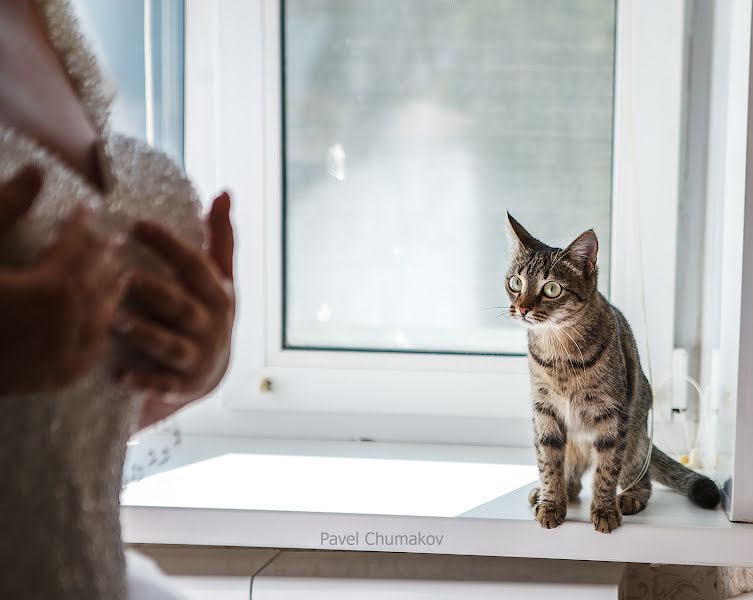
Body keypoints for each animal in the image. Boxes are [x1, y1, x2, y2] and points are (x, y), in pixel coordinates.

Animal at [508, 213, 720, 532]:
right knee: (572, 480)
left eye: (551, 289)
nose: (521, 309)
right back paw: (549, 492)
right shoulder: (545, 411)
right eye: (516, 282)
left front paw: (605, 510)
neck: (559, 352)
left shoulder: (611, 414)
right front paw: (551, 503)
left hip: (633, 437)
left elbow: (606, 470)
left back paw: (630, 497)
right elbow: (548, 463)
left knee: (641, 478)